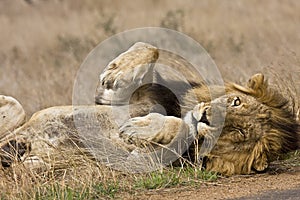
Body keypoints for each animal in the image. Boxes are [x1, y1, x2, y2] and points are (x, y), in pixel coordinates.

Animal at [0, 41, 298, 175]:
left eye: (239, 134)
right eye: (236, 101)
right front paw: (114, 72)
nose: (205, 117)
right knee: (17, 110)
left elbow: (178, 129)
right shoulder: (115, 99)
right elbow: (149, 48)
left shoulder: (146, 163)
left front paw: (138, 129)